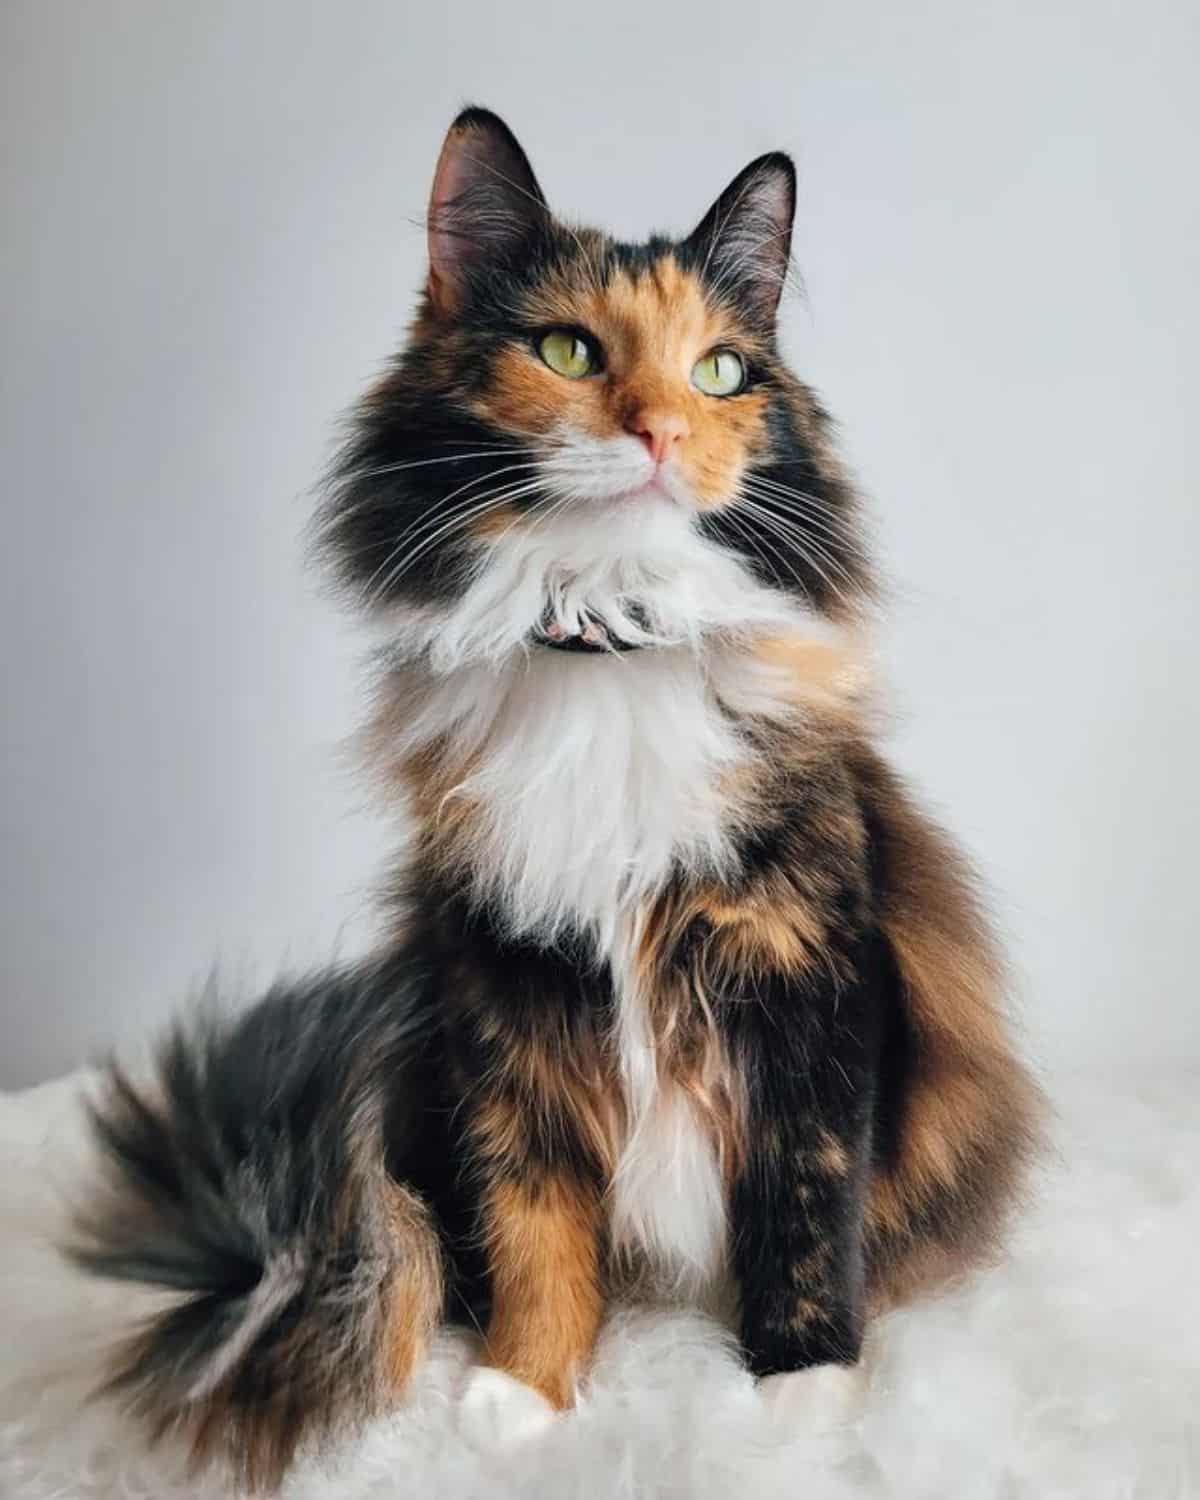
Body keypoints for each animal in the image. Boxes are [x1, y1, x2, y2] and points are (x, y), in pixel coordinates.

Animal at [70, 108, 1038, 1488]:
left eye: (721, 372)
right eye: (570, 350)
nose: (662, 433)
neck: (609, 642)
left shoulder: (810, 977)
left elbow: (802, 1202)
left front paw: (800, 1395)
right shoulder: (501, 988)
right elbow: (532, 1218)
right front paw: (526, 1391)